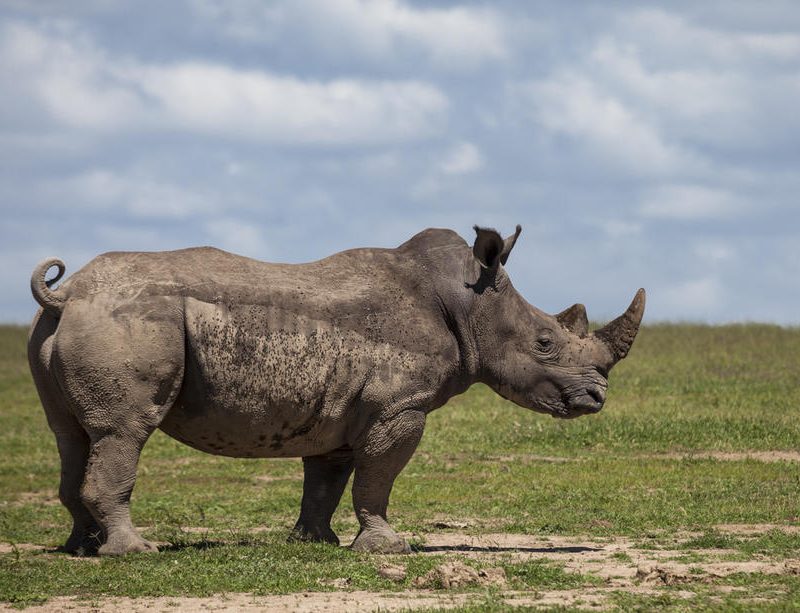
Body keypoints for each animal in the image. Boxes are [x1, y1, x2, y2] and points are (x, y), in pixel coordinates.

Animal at [28, 225, 645, 556]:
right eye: (545, 343)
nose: (596, 399)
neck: (470, 302)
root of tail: (69, 293)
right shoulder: (400, 405)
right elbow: (378, 477)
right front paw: (388, 546)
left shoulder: (342, 408)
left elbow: (327, 479)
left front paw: (314, 542)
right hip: (129, 322)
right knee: (124, 432)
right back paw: (134, 552)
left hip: (69, 328)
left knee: (71, 434)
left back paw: (83, 548)